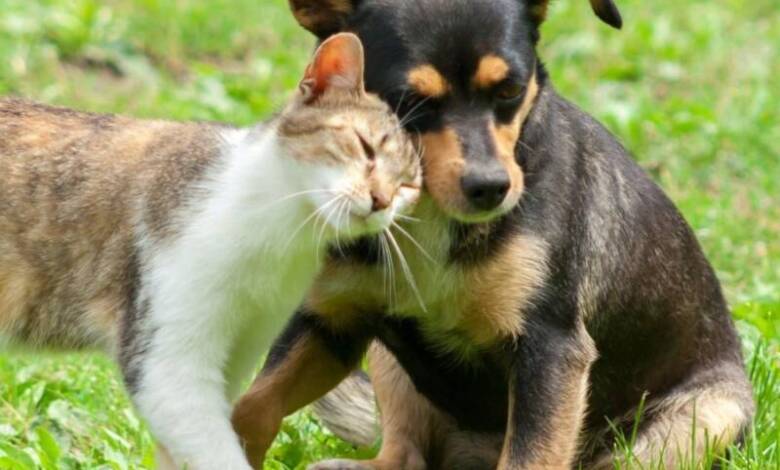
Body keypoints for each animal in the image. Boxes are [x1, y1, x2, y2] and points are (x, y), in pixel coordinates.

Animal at [0, 34, 420, 470]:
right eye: (366, 147)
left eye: (408, 186)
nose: (382, 200)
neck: (281, 236)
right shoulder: (167, 364)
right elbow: (218, 451)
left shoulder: (239, 348)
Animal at [233, 1, 756, 468]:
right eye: (408, 102)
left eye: (510, 90)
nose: (490, 188)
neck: (428, 214)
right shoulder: (332, 322)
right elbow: (251, 407)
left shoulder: (551, 348)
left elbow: (531, 457)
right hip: (388, 363)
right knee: (406, 454)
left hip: (699, 420)